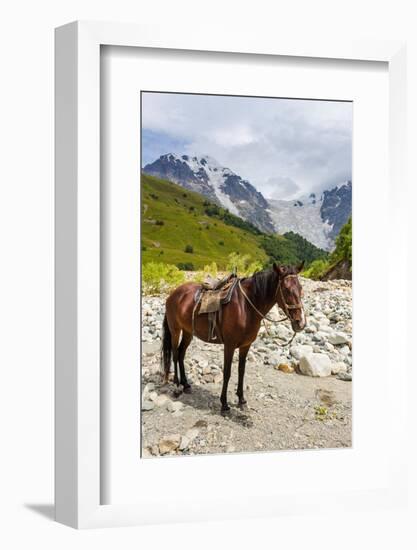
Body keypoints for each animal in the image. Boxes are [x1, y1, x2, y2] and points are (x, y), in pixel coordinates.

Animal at [161, 264, 304, 414]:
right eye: (286, 289)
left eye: (300, 288)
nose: (300, 323)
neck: (245, 306)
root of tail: (173, 294)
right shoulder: (229, 345)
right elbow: (227, 373)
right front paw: (224, 404)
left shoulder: (245, 346)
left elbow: (241, 371)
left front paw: (241, 400)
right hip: (175, 330)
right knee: (175, 354)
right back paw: (177, 386)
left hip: (188, 332)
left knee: (181, 354)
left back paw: (186, 384)